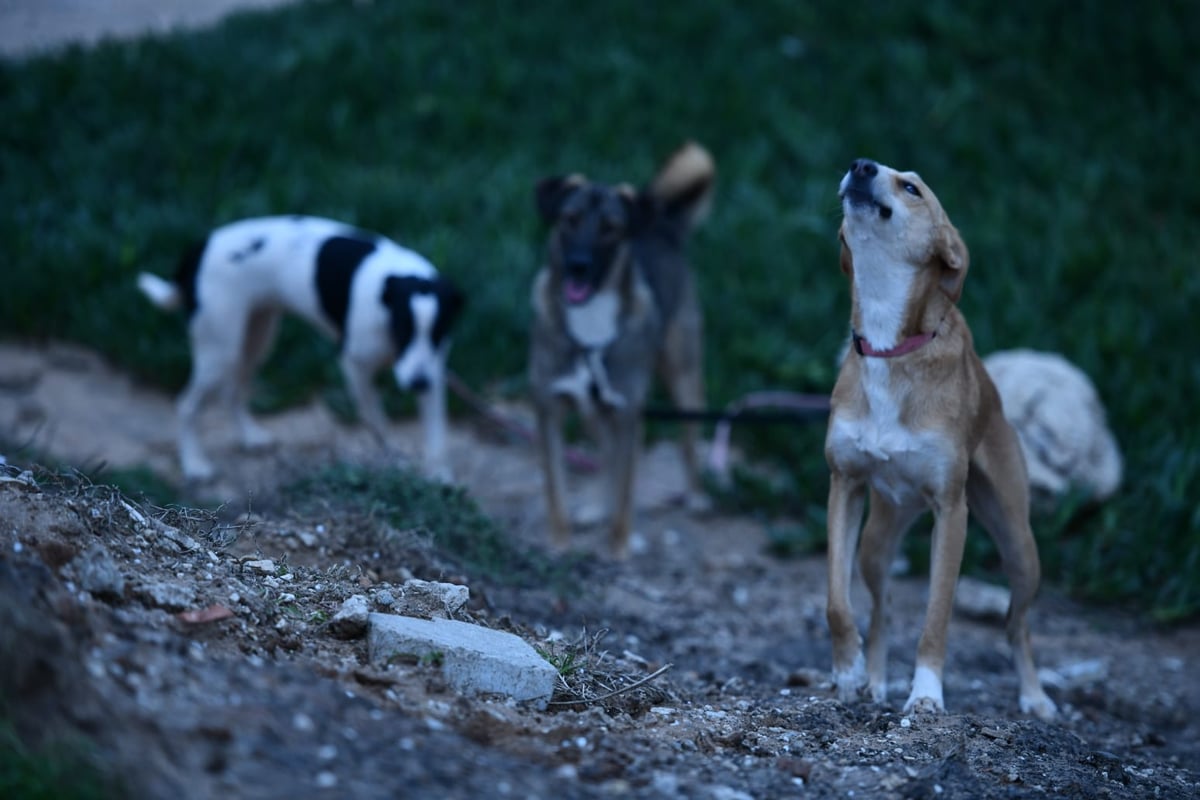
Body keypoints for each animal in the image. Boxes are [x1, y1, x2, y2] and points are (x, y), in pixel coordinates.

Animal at [137, 214, 463, 482]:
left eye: (440, 333)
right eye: (402, 329)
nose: (418, 384)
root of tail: (198, 249)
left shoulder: (432, 372)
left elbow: (437, 436)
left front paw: (440, 478)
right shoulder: (355, 367)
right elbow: (378, 422)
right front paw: (396, 461)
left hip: (258, 336)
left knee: (233, 391)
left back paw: (250, 437)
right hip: (219, 350)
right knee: (187, 405)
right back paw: (194, 464)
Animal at [532, 142, 715, 556]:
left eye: (610, 229)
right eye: (569, 219)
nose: (578, 266)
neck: (590, 323)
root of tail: (663, 225)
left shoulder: (629, 412)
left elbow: (627, 489)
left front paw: (619, 548)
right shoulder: (550, 408)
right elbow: (555, 490)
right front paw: (559, 543)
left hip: (685, 379)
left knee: (686, 442)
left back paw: (697, 495)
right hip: (593, 411)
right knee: (606, 456)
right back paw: (597, 505)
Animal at [820, 155, 1056, 719]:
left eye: (912, 188)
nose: (861, 165)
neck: (889, 347)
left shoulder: (952, 512)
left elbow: (937, 617)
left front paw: (926, 694)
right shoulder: (845, 485)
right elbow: (838, 603)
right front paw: (848, 671)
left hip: (1020, 548)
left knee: (1017, 626)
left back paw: (1034, 697)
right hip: (876, 543)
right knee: (881, 610)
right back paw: (875, 679)